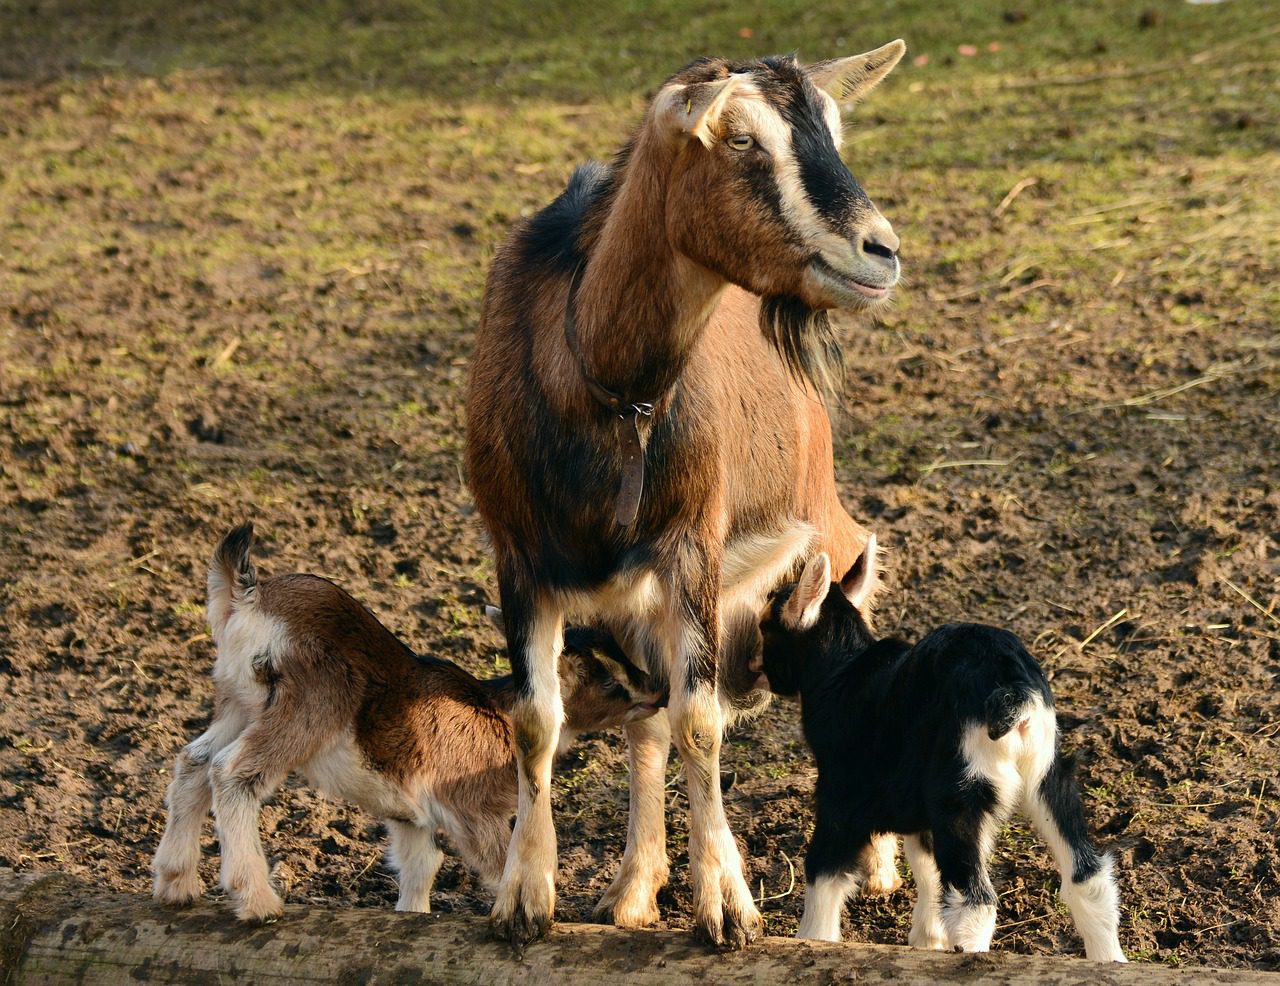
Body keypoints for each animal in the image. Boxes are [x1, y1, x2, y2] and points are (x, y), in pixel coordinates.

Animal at [465, 44, 906, 942]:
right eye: (739, 140)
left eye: (834, 130)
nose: (881, 251)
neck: (599, 385)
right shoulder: (518, 555)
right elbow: (539, 722)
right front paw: (525, 898)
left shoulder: (692, 542)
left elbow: (699, 722)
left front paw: (728, 907)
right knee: (646, 722)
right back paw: (634, 888)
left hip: (824, 524)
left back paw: (878, 866)